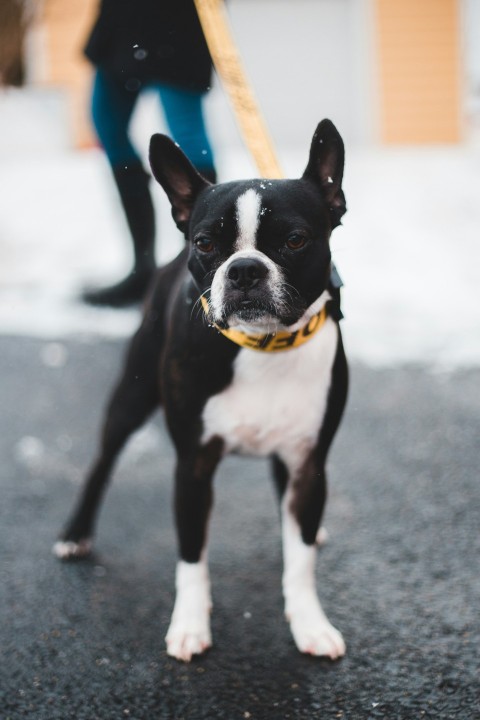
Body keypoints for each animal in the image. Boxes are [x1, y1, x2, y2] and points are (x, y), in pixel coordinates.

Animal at [54, 118, 348, 664]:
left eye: (296, 240)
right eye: (207, 243)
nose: (245, 269)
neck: (263, 347)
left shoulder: (309, 462)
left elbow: (299, 560)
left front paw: (310, 624)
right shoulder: (191, 467)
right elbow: (192, 557)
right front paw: (189, 626)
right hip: (131, 396)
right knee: (103, 462)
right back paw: (76, 533)